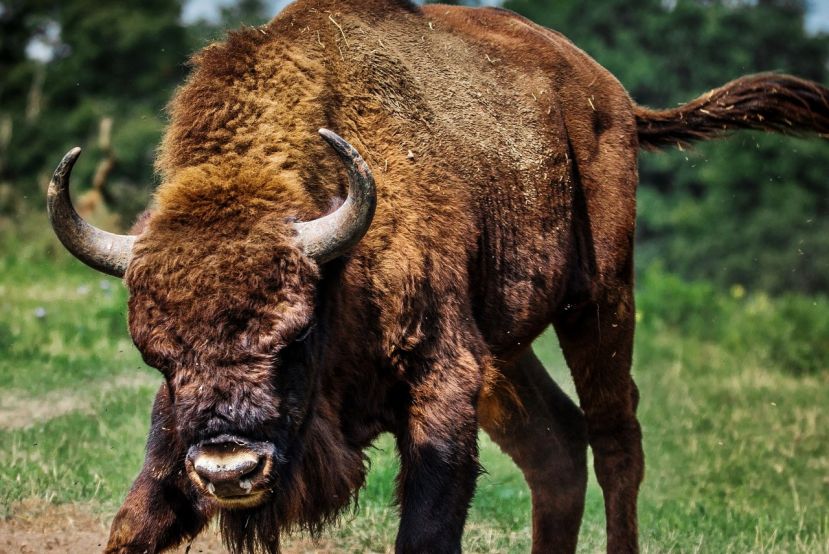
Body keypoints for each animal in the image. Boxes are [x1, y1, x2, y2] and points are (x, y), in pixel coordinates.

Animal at [47, 1, 828, 552]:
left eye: (293, 336)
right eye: (157, 356)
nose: (229, 470)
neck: (337, 261)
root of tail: (609, 97)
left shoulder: (443, 378)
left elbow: (426, 527)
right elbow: (138, 518)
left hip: (599, 298)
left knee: (614, 439)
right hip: (503, 349)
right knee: (555, 446)